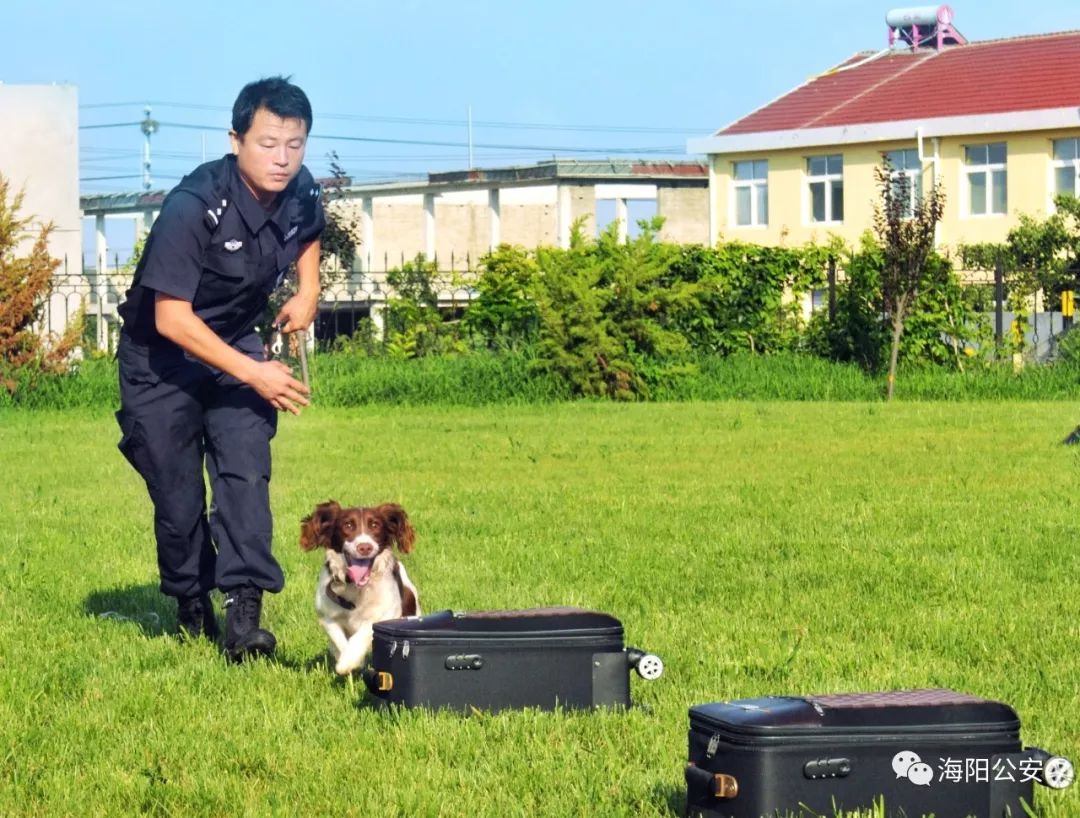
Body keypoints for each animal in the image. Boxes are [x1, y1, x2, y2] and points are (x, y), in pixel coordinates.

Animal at [304, 501, 421, 674]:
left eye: (375, 525)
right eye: (348, 525)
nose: (365, 547)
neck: (356, 587)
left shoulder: (386, 613)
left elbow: (364, 632)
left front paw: (348, 661)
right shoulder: (327, 616)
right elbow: (338, 638)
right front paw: (347, 661)